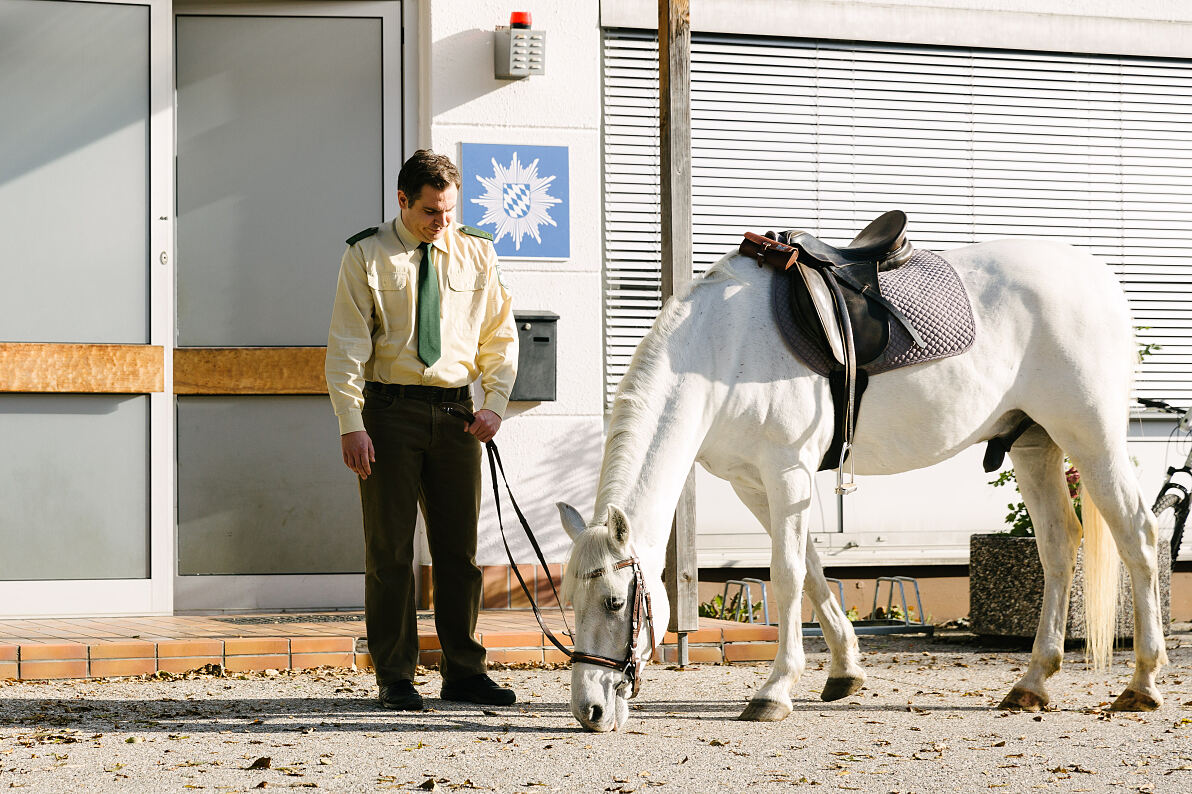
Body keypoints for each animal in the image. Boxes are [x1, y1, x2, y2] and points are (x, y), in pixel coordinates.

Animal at [557, 236, 1163, 729]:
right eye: (570, 600)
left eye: (615, 601)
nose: (589, 710)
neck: (721, 349)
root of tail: (1102, 280)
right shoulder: (754, 484)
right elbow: (811, 569)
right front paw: (844, 673)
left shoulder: (787, 471)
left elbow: (786, 576)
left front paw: (775, 691)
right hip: (1034, 445)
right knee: (1059, 547)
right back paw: (1032, 682)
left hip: (1092, 437)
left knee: (1139, 537)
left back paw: (1142, 684)